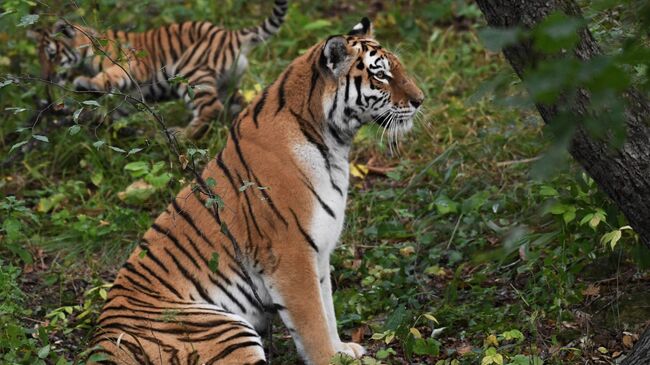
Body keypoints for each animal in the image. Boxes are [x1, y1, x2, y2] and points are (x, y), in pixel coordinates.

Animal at [27, 0, 286, 138]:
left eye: (52, 55)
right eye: (39, 58)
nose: (46, 77)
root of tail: (230, 34)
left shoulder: (133, 65)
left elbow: (108, 77)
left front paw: (87, 85)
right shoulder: (129, 98)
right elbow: (116, 112)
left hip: (190, 73)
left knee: (211, 110)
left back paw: (178, 136)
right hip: (226, 84)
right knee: (237, 104)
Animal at [87, 17, 426, 364]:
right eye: (381, 75)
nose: (420, 100)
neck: (333, 142)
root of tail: (103, 343)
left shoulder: (318, 251)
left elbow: (328, 310)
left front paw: (342, 350)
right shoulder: (290, 253)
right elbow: (314, 322)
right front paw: (330, 358)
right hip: (226, 330)